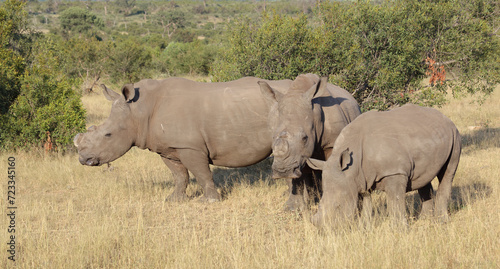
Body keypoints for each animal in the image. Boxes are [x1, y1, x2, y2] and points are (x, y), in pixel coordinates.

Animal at [75, 77, 292, 201]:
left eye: (108, 135)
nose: (83, 160)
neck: (139, 110)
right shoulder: (169, 148)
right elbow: (179, 176)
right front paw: (173, 199)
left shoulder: (190, 146)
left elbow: (202, 174)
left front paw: (209, 201)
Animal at [306, 103, 462, 227]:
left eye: (338, 206)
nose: (323, 230)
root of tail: (445, 117)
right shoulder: (361, 178)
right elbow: (366, 203)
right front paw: (364, 227)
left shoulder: (394, 171)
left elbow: (395, 201)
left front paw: (399, 229)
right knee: (424, 178)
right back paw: (424, 220)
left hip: (454, 135)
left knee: (448, 173)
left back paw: (442, 221)